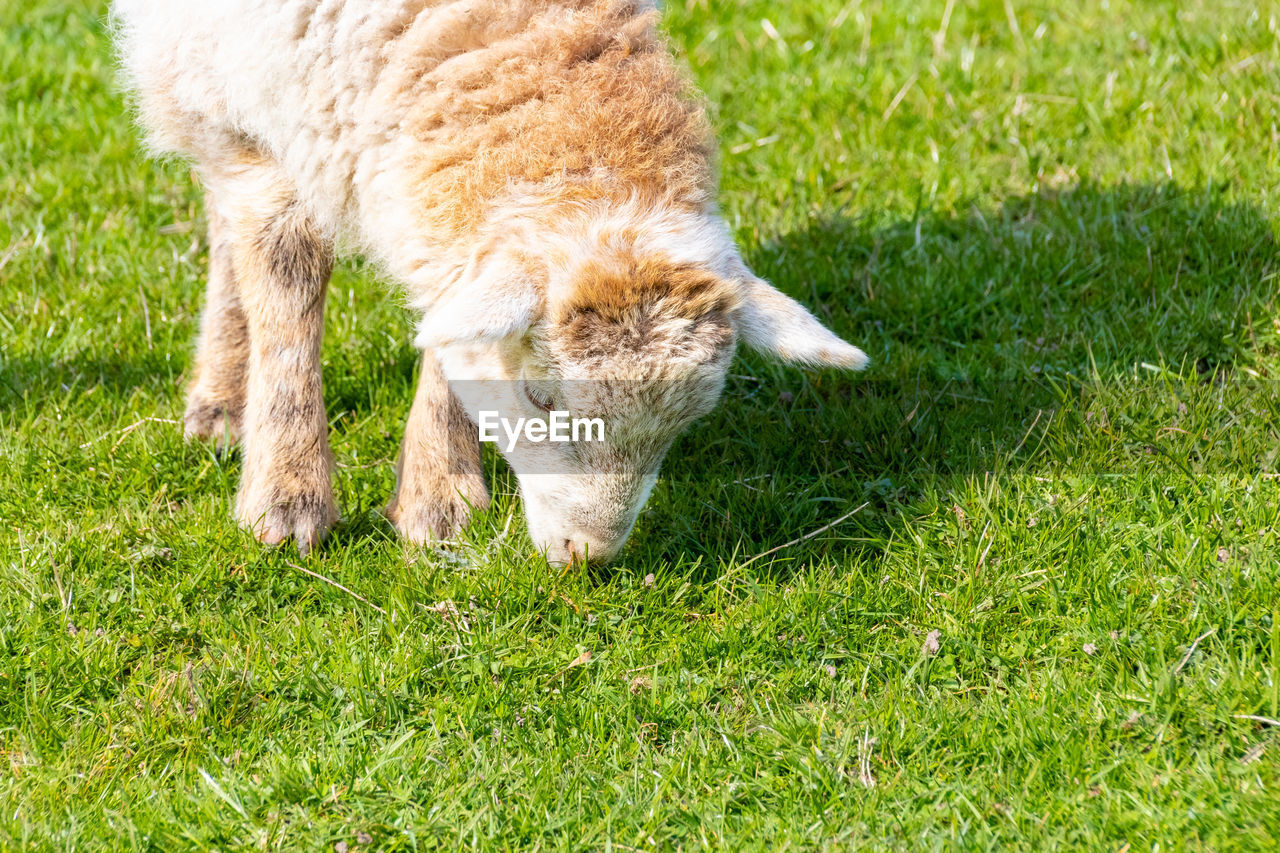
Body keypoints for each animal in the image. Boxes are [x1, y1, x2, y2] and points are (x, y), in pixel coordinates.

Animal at [112, 1, 870, 563]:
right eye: (539, 396)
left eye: (687, 421)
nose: (586, 554)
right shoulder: (246, 108)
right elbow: (286, 280)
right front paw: (286, 497)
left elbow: (448, 323)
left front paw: (439, 499)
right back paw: (221, 395)